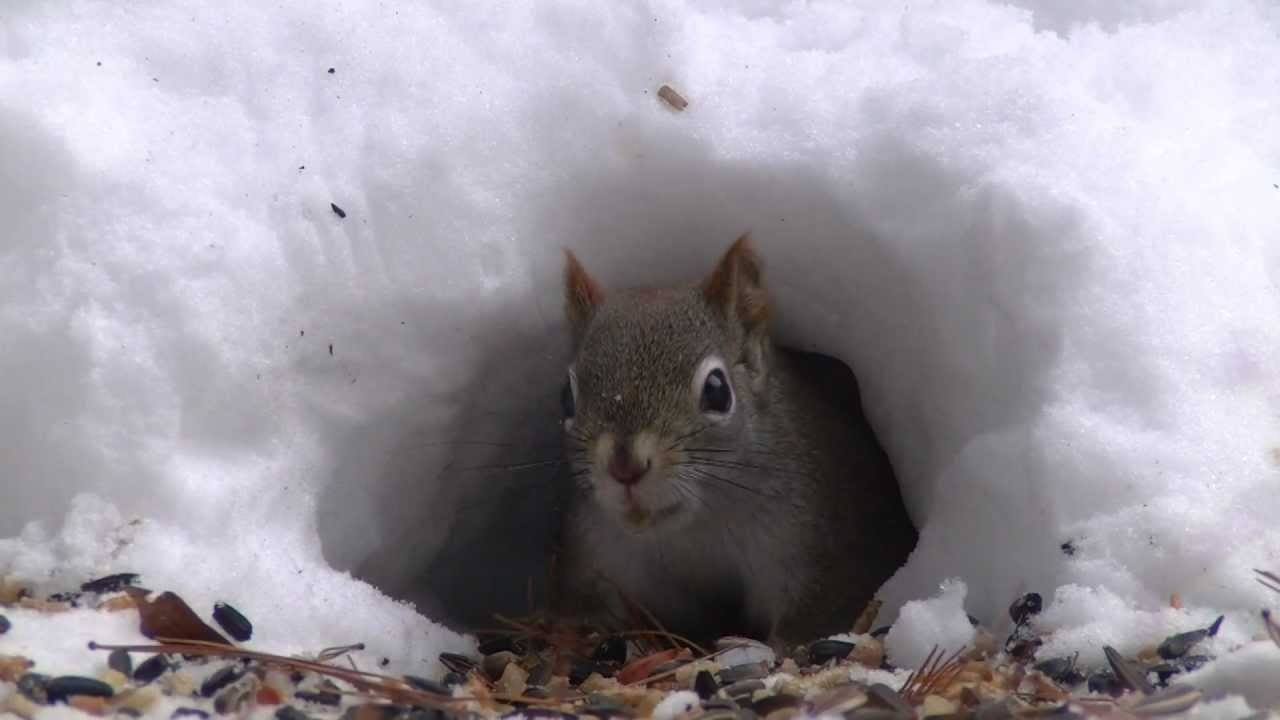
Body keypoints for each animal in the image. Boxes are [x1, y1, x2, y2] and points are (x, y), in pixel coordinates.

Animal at [551, 234, 917, 645]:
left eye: (717, 390)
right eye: (566, 397)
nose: (624, 467)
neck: (697, 531)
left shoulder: (821, 550)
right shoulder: (601, 555)